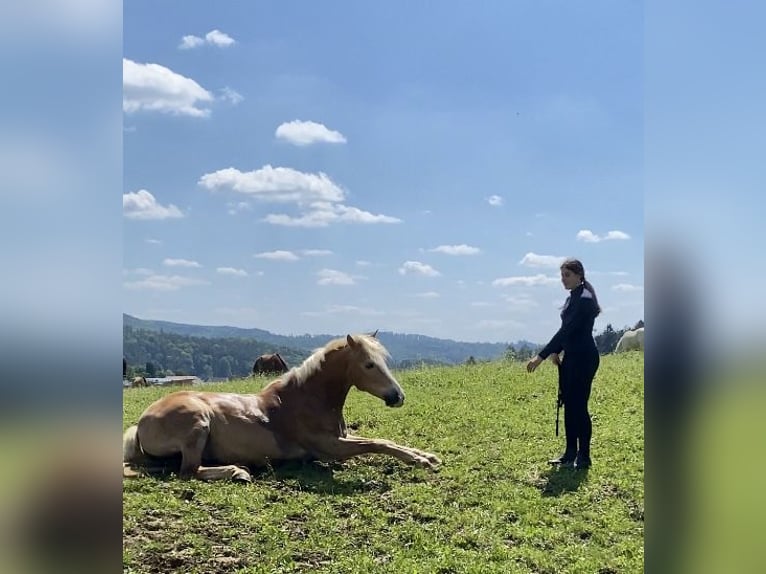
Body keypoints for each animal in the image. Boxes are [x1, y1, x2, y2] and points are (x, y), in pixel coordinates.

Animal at [123, 332, 440, 482]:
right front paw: (421, 461)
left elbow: (386, 441)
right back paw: (238, 472)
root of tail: (141, 424)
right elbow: (378, 443)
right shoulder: (331, 447)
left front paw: (426, 455)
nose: (397, 397)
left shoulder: (343, 438)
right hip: (197, 425)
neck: (307, 399)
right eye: (369, 364)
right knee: (188, 471)